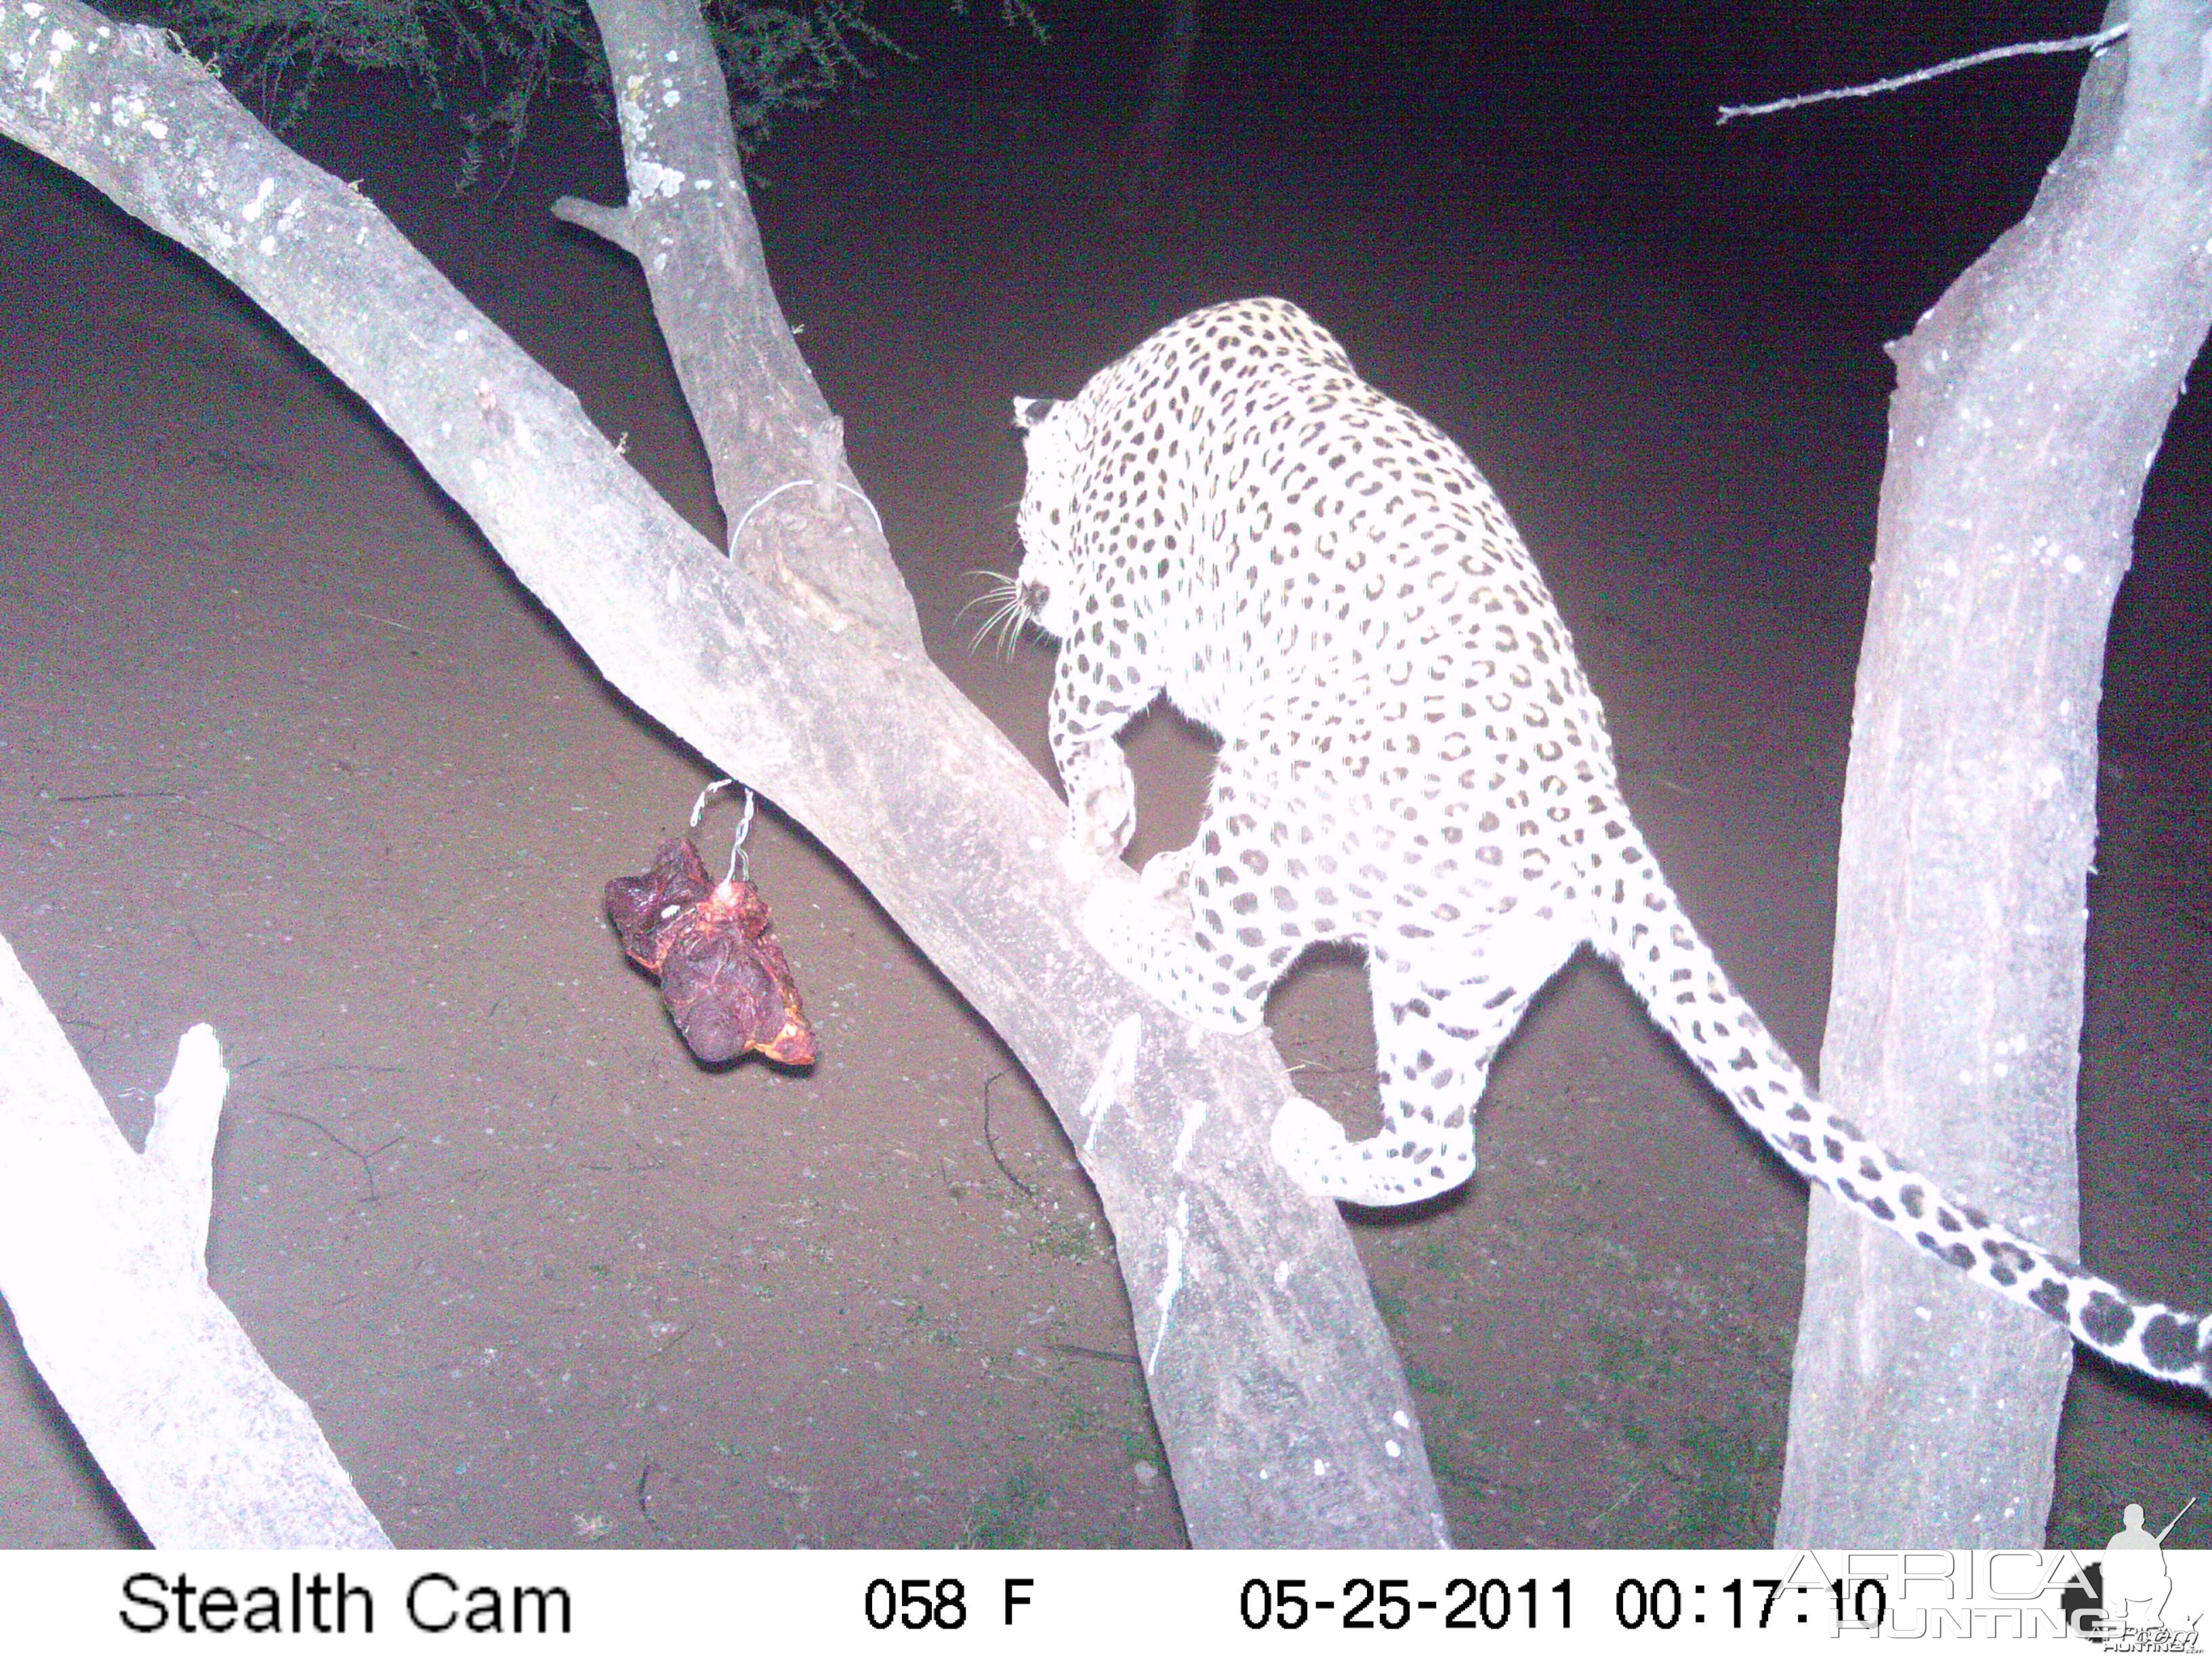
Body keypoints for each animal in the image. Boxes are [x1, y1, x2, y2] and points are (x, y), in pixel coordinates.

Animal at [1000, 291, 2212, 1397]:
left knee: (1234, 984)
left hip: (1282, 782)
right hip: (1452, 977)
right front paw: (1134, 830)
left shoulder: (1131, 605)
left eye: (1034, 523)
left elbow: (1076, 700)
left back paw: (1140, 930)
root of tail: (1598, 814)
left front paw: (1100, 803)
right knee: (1446, 1145)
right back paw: (1320, 1140)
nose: (1029, 586)